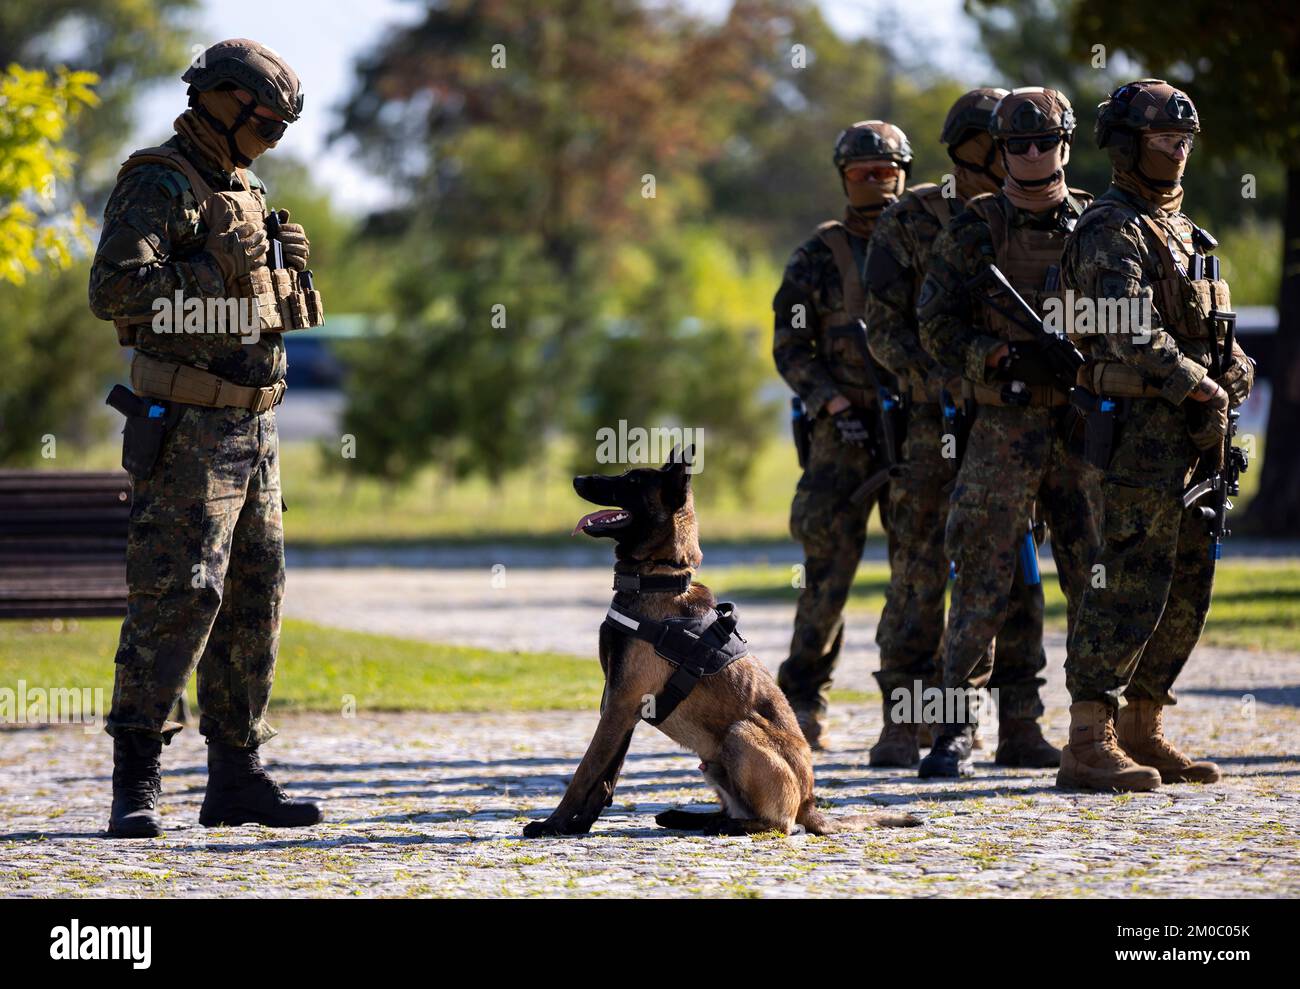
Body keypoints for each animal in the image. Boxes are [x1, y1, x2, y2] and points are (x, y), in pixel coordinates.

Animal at [517, 452, 915, 836]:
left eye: (630, 480)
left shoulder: (620, 703)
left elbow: (586, 770)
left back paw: (724, 825)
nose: (577, 479)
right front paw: (578, 825)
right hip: (710, 762)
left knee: (780, 825)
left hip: (739, 734)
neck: (659, 576)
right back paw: (688, 817)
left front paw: (551, 825)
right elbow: (606, 776)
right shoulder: (619, 703)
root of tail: (810, 803)